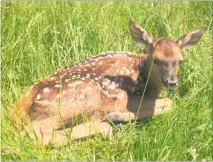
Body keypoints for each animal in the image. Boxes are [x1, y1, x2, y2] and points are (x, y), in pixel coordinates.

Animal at [10, 20, 206, 146]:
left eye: (180, 60)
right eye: (156, 59)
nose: (172, 82)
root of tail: (22, 104)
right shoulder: (124, 97)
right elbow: (169, 103)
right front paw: (117, 116)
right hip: (82, 95)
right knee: (36, 135)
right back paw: (106, 126)